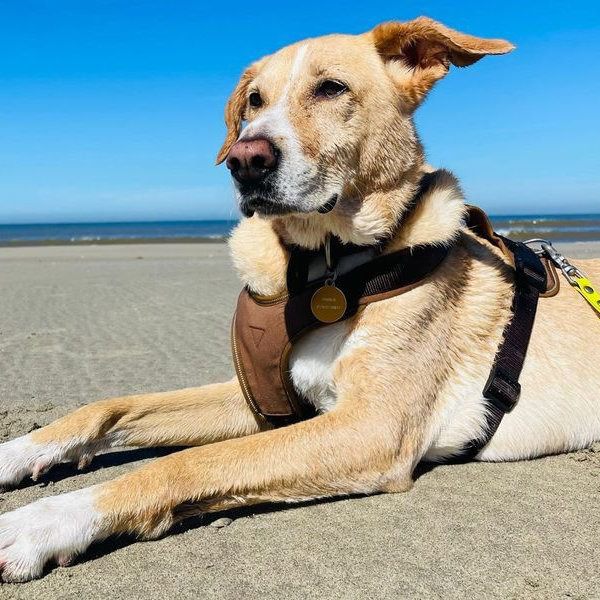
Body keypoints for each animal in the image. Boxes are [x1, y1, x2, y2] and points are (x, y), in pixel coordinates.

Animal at [0, 17, 598, 583]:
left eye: (332, 88)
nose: (245, 159)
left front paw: (45, 521)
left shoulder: (371, 427)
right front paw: (16, 453)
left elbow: (188, 463)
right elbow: (109, 405)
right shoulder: (264, 398)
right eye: (254, 101)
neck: (320, 266)